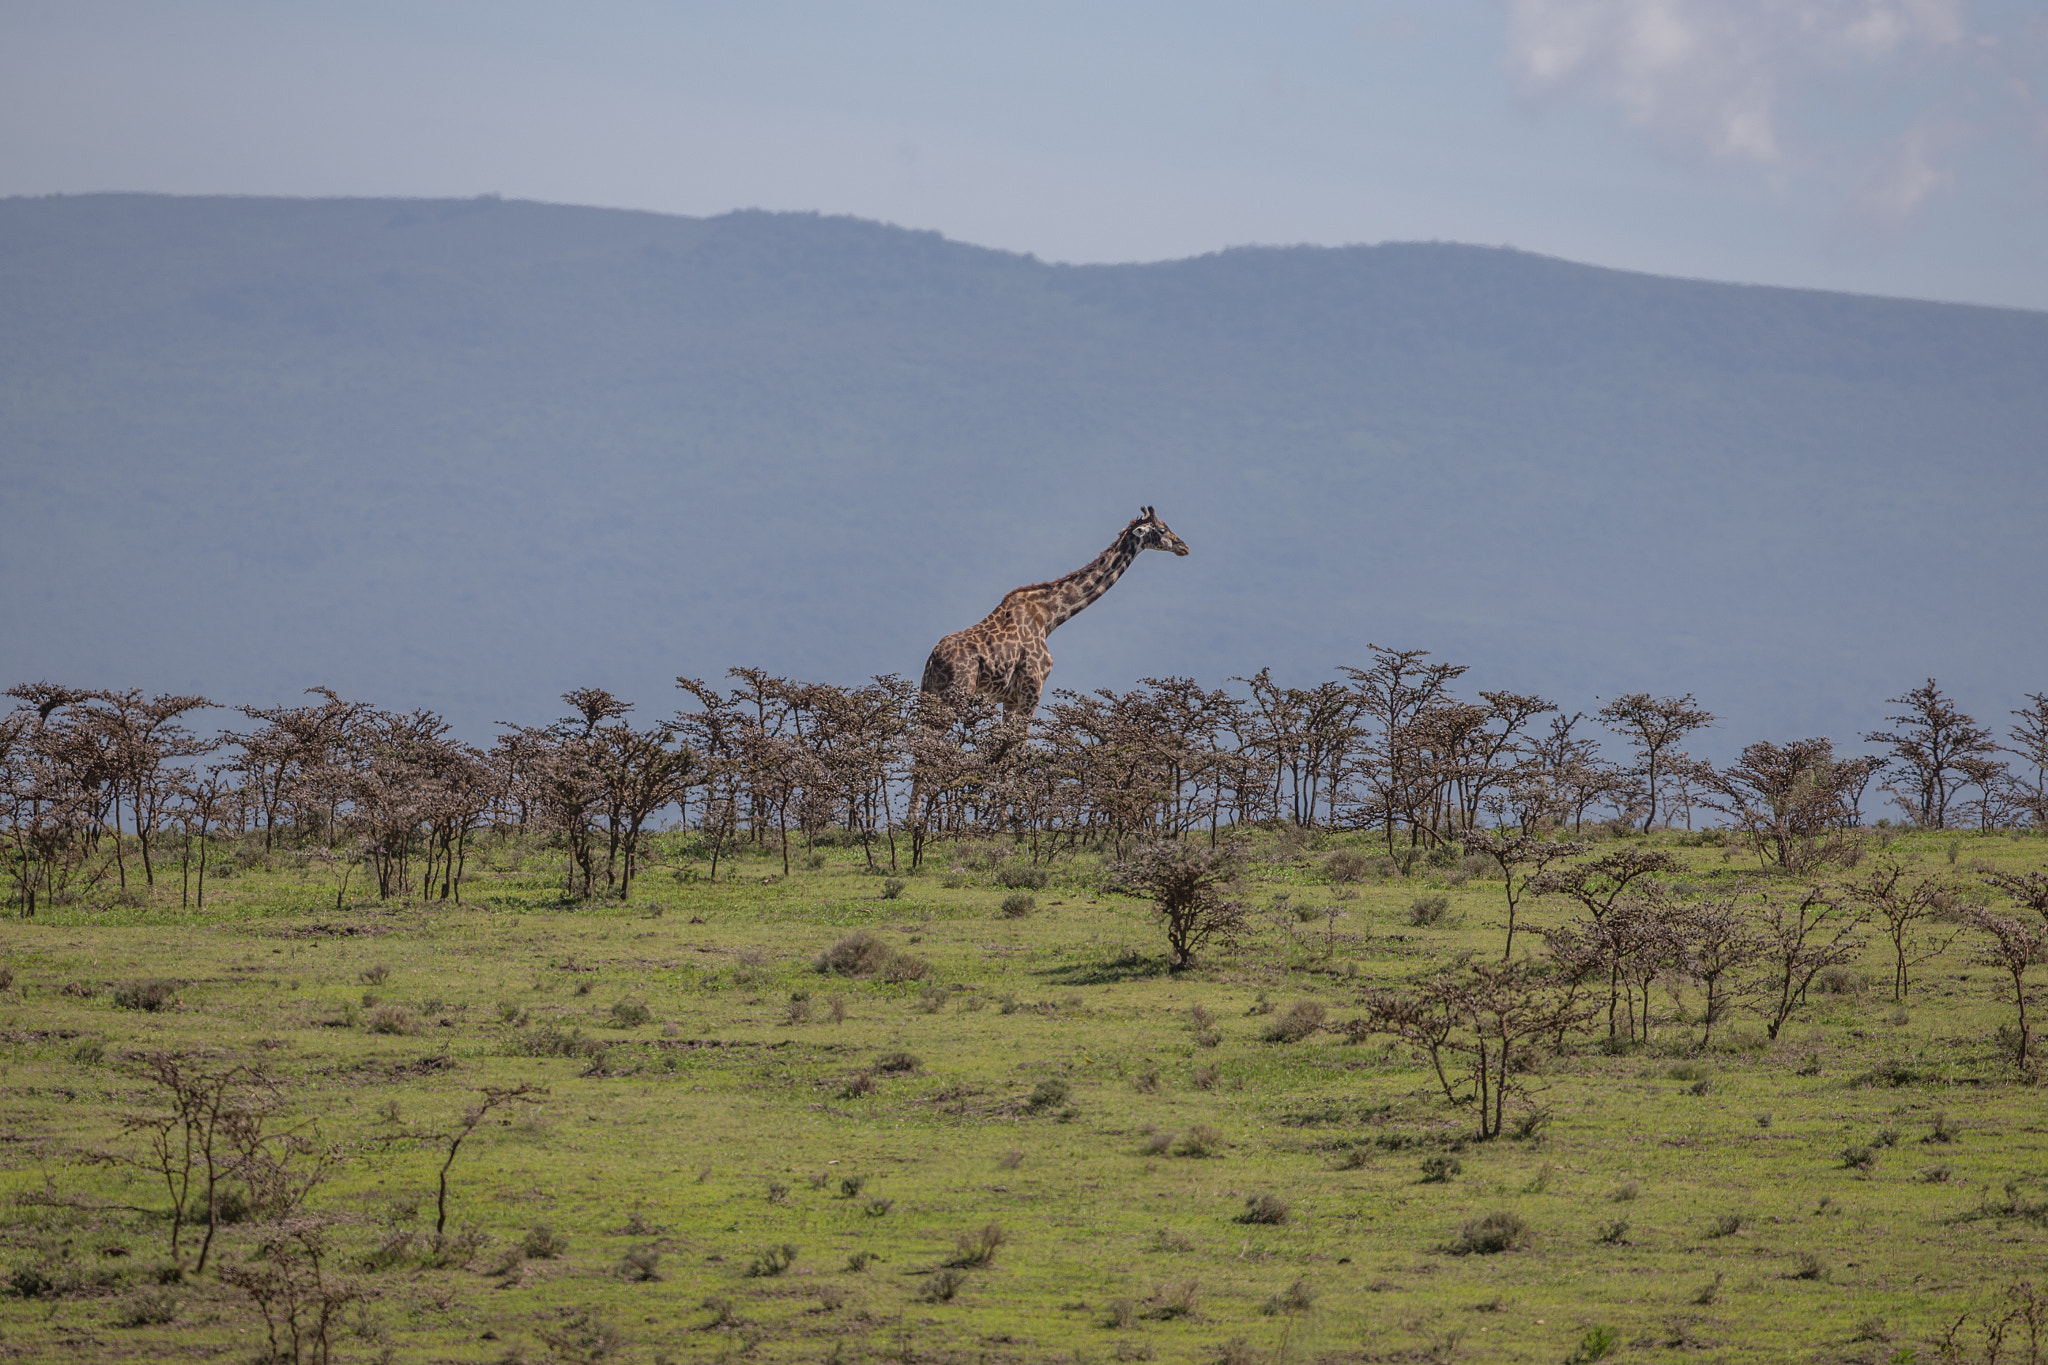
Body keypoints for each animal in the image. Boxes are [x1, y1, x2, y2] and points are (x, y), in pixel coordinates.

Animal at [921, 507, 1196, 720]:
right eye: (1162, 529)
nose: (1184, 547)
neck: (1047, 617)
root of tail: (933, 660)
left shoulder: (1010, 699)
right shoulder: (1032, 687)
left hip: (932, 695)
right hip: (958, 692)